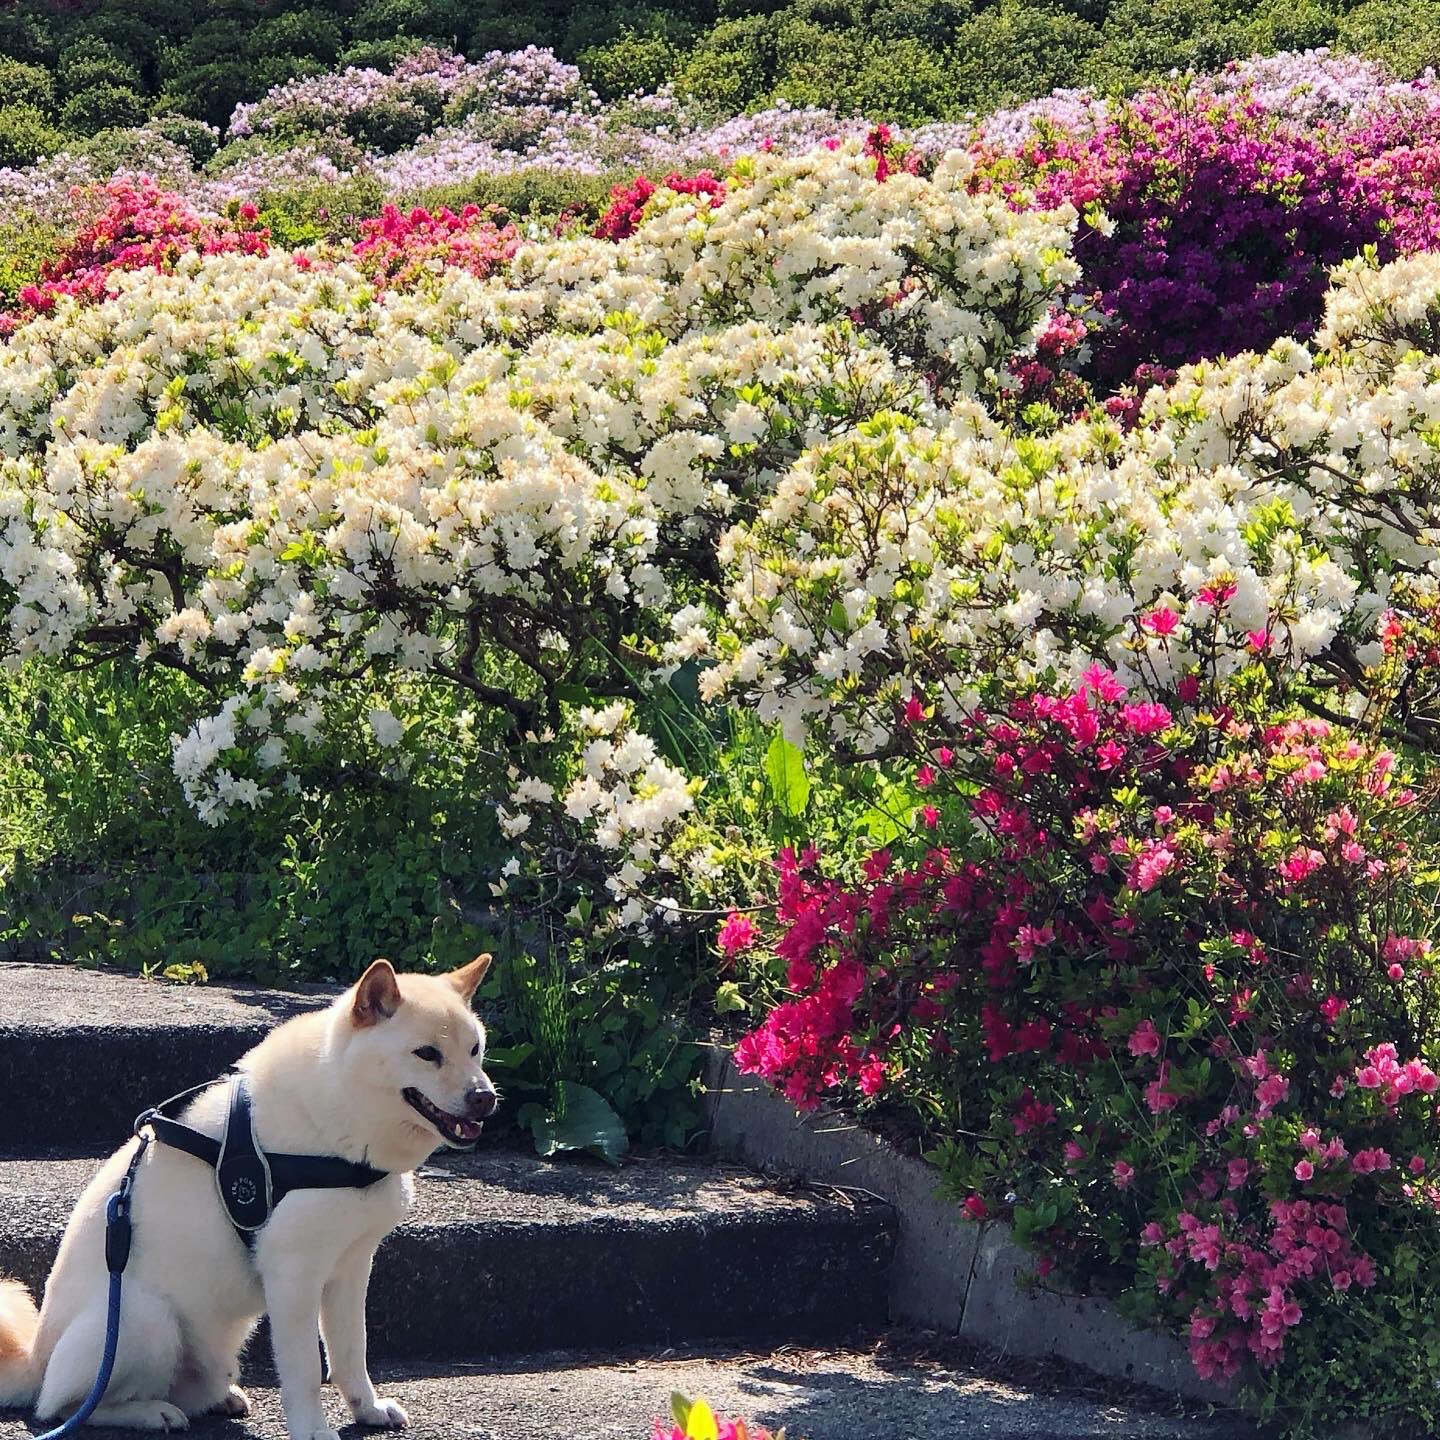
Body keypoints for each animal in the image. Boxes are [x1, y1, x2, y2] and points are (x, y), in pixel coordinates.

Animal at [0, 956, 501, 1440]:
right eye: (427, 1054)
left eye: (475, 1049)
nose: (485, 1098)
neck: (337, 1120)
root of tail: (36, 1360)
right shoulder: (294, 1275)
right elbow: (304, 1368)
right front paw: (312, 1429)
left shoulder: (353, 1266)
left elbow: (350, 1352)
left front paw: (367, 1409)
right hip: (143, 1317)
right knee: (65, 1408)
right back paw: (147, 1413)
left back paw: (217, 1398)